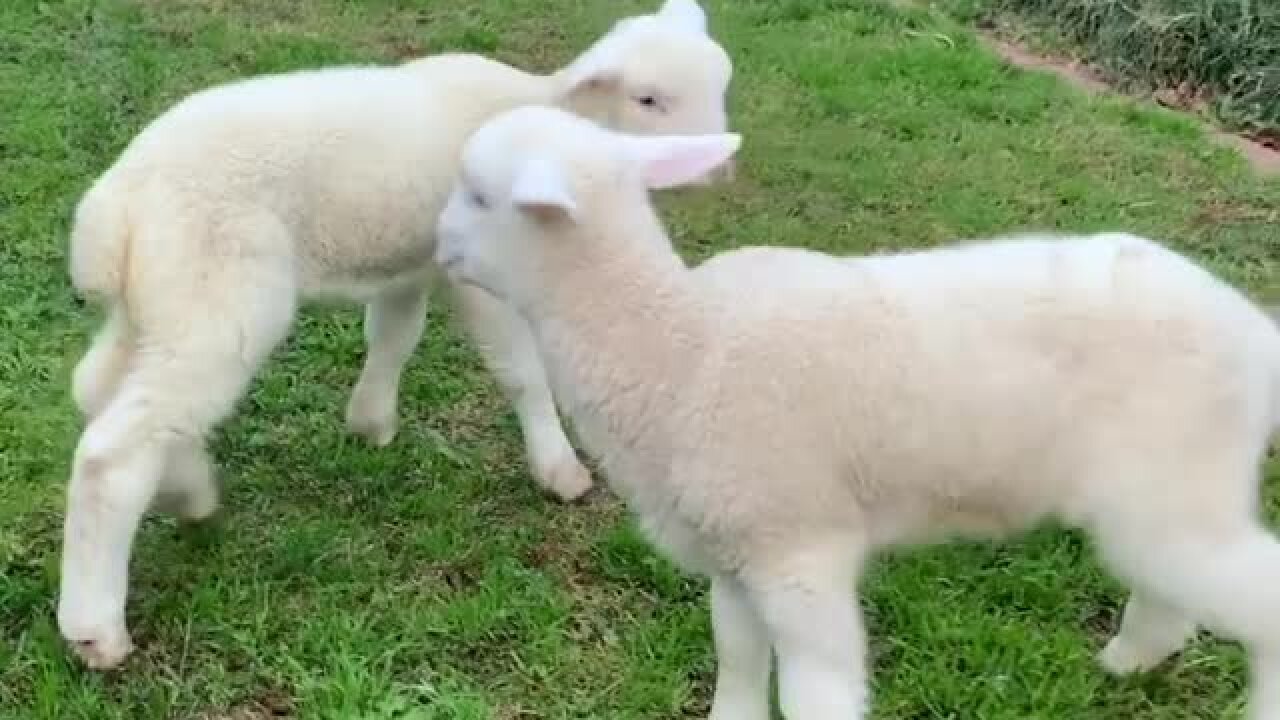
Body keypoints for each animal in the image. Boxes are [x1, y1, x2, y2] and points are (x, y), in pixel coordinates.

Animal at [60, 0, 737, 666]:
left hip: (161, 302)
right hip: (218, 295)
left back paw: (189, 488)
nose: (722, 167)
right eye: (649, 99)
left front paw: (370, 421)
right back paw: (95, 627)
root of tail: (112, 214)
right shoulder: (485, 267)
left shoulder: (411, 266)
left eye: (721, 85)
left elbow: (393, 336)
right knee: (113, 452)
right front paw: (559, 469)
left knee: (100, 390)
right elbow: (520, 368)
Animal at [435, 105, 1280, 717]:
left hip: (1175, 481)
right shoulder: (736, 555)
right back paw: (1128, 660)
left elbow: (818, 694)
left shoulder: (799, 551)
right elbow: (738, 666)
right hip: (1165, 497)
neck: (679, 345)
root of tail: (1257, 336)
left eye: (478, 197)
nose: (435, 242)